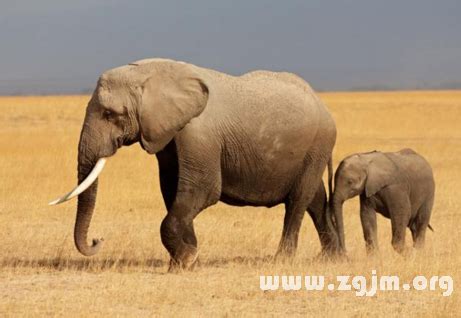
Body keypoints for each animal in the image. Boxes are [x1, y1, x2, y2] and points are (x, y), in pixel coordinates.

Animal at [50, 58, 338, 270]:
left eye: (111, 114)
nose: (97, 239)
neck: (150, 73)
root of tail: (323, 105)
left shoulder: (198, 133)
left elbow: (203, 190)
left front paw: (185, 260)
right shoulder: (166, 134)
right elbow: (172, 190)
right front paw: (187, 257)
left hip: (318, 144)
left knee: (298, 200)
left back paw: (282, 260)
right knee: (315, 199)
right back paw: (333, 257)